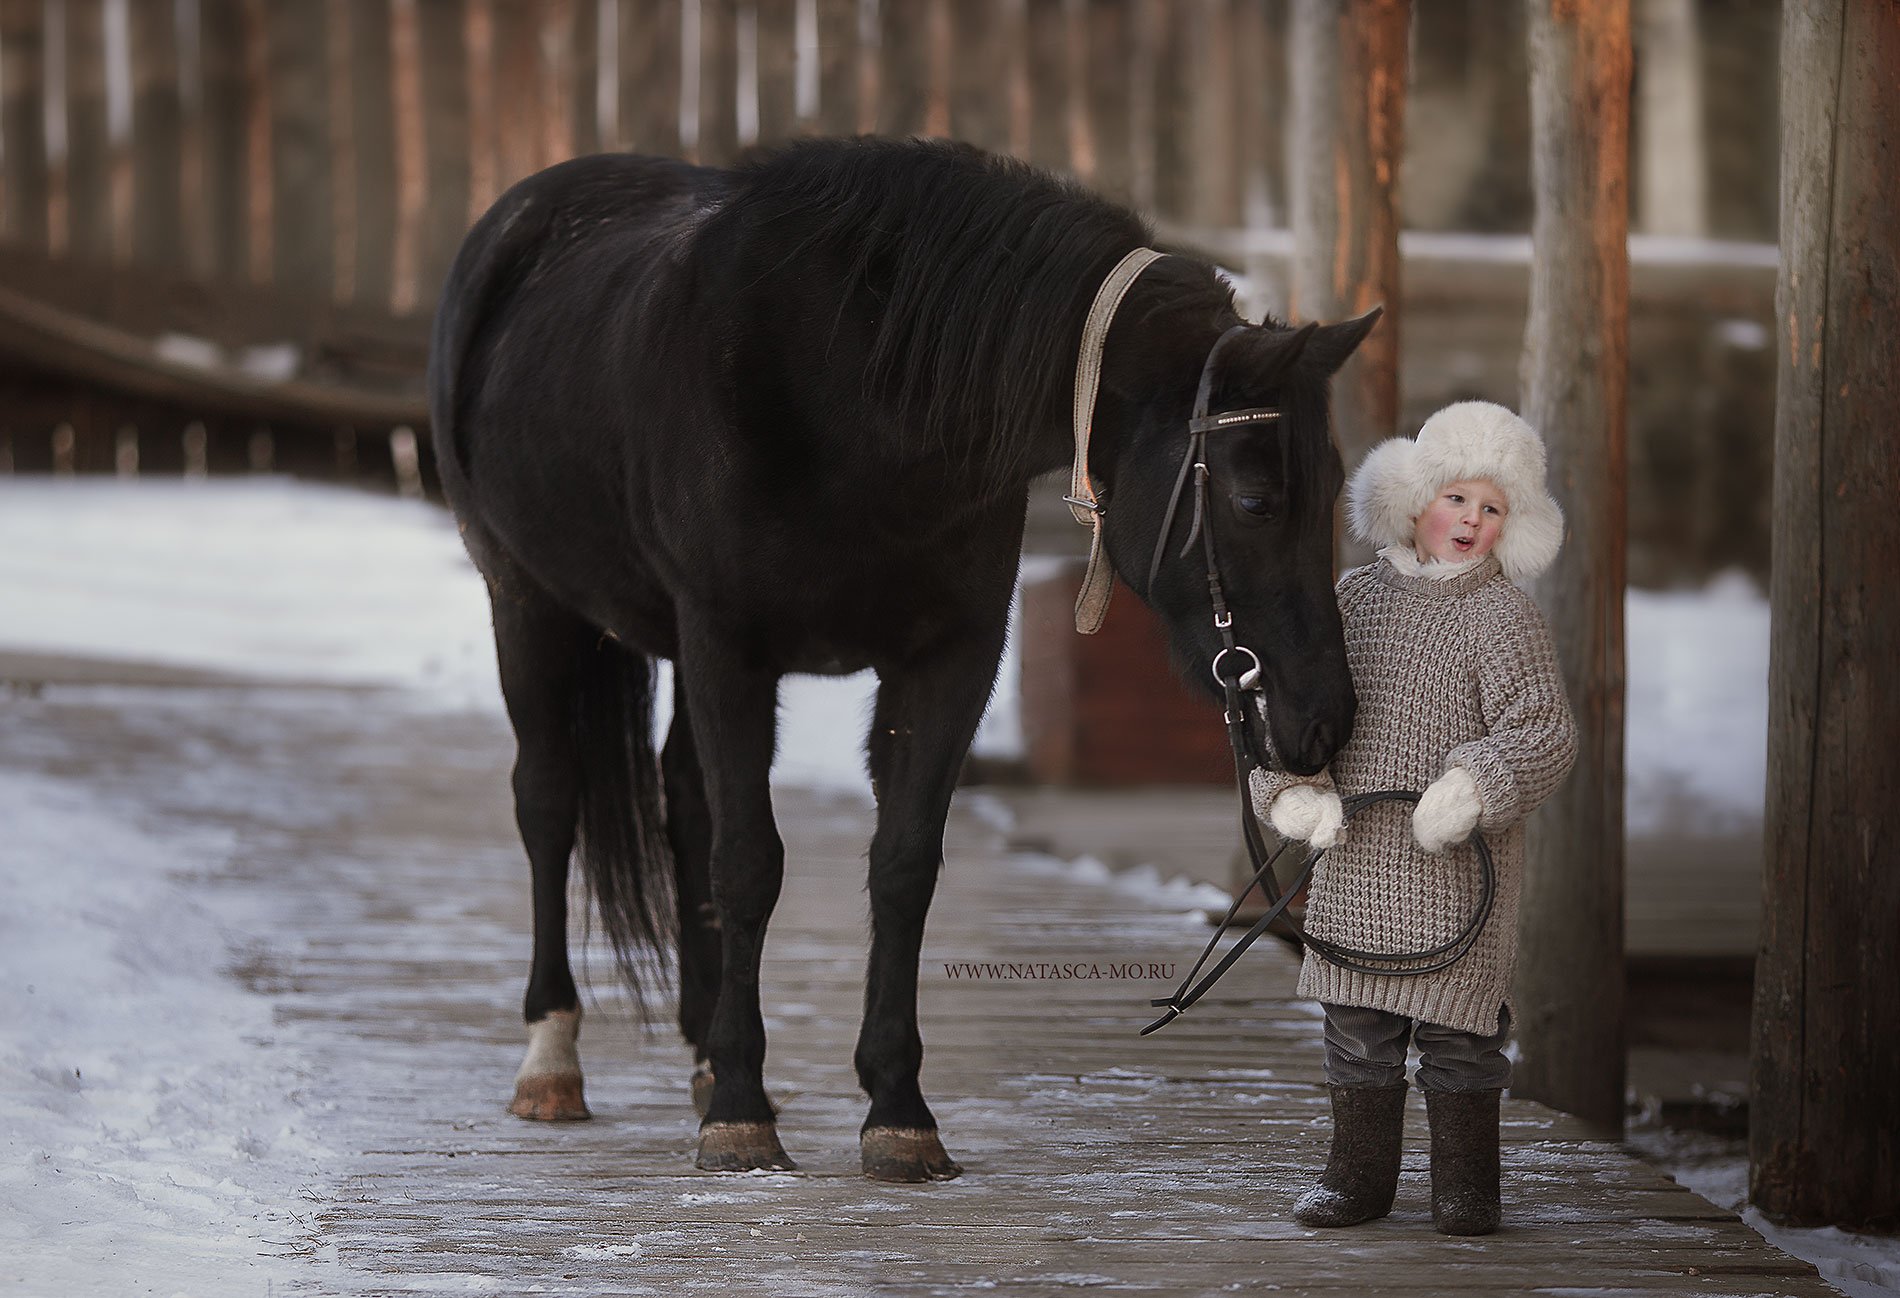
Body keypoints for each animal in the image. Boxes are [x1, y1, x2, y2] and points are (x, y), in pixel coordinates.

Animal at [435, 136, 1368, 1185]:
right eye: (1254, 501)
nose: (1325, 717)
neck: (857, 399)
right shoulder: (728, 646)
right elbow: (749, 861)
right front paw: (742, 1114)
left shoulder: (951, 657)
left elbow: (902, 863)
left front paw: (894, 1110)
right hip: (526, 603)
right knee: (549, 804)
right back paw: (554, 1059)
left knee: (680, 799)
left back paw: (700, 1051)